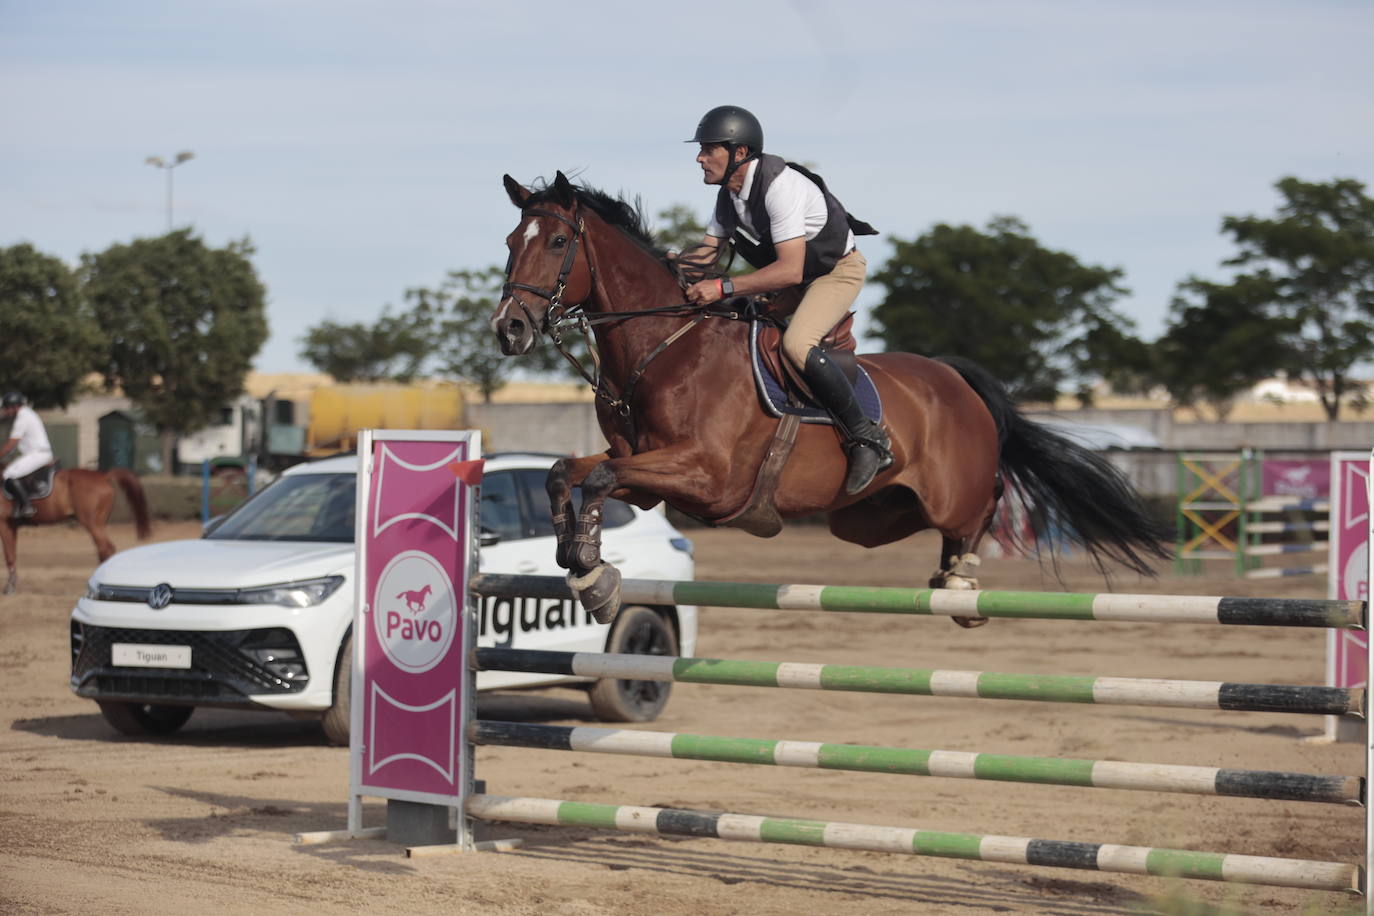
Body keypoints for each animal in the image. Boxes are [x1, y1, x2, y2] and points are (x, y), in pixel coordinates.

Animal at [1, 469, 154, 598]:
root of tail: (103, 476)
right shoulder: (11, 526)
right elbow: (12, 554)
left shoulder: (4, 525)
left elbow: (9, 556)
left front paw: (9, 588)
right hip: (98, 523)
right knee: (105, 549)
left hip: (92, 523)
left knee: (105, 548)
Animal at [491, 173, 1170, 623]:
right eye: (510, 241)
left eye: (557, 244)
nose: (509, 329)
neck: (663, 345)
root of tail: (952, 378)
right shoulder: (650, 475)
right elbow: (568, 472)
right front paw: (578, 562)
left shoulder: (706, 475)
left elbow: (600, 478)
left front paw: (592, 573)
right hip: (867, 517)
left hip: (953, 492)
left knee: (990, 500)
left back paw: (962, 584)